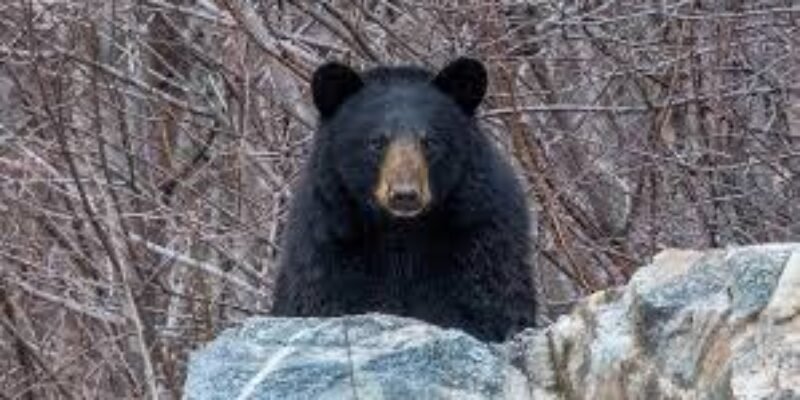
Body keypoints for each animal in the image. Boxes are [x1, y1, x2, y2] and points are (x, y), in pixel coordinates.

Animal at [271, 57, 536, 342]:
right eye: (376, 141)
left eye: (429, 141)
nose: (404, 195)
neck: (401, 232)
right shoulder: (330, 244)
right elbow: (325, 300)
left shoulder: (480, 239)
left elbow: (485, 304)